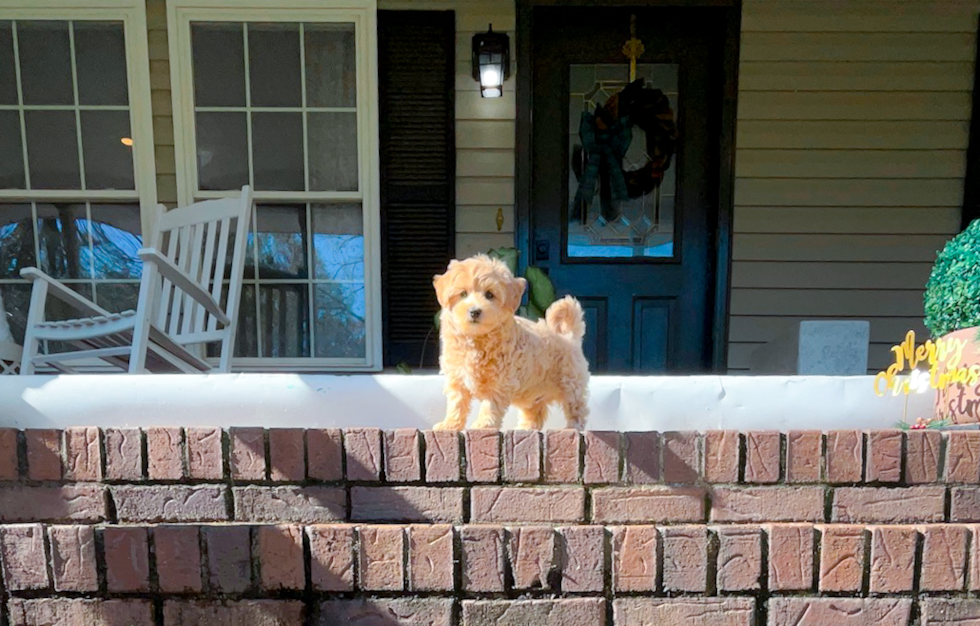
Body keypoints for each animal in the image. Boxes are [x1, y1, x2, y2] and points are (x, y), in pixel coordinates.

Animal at [430, 254, 588, 428]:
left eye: (489, 295)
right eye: (463, 294)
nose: (474, 311)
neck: (477, 338)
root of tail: (569, 337)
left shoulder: (501, 381)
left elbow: (490, 405)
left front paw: (483, 425)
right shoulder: (457, 377)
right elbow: (456, 404)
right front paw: (449, 425)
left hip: (571, 382)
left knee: (576, 408)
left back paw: (573, 427)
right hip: (533, 393)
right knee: (534, 412)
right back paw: (524, 428)